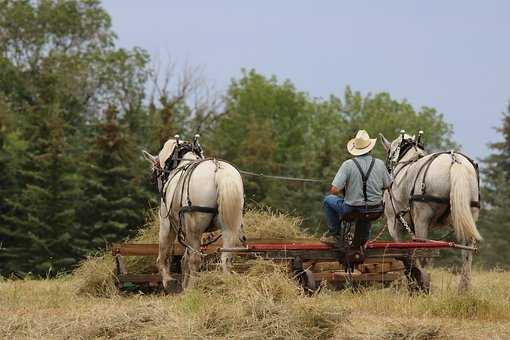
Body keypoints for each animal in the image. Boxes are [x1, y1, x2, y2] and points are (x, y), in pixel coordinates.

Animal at [141, 137, 245, 290]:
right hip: (229, 225)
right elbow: (185, 258)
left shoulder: (167, 222)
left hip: (194, 227)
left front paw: (168, 280)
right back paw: (226, 282)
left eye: (155, 169)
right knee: (226, 257)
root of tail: (218, 170)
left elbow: (164, 253)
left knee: (195, 259)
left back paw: (191, 288)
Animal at [378, 133, 482, 292]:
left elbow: (404, 254)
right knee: (467, 251)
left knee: (424, 253)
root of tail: (455, 160)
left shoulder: (394, 225)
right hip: (469, 214)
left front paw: (413, 282)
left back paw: (424, 285)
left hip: (422, 219)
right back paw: (463, 289)